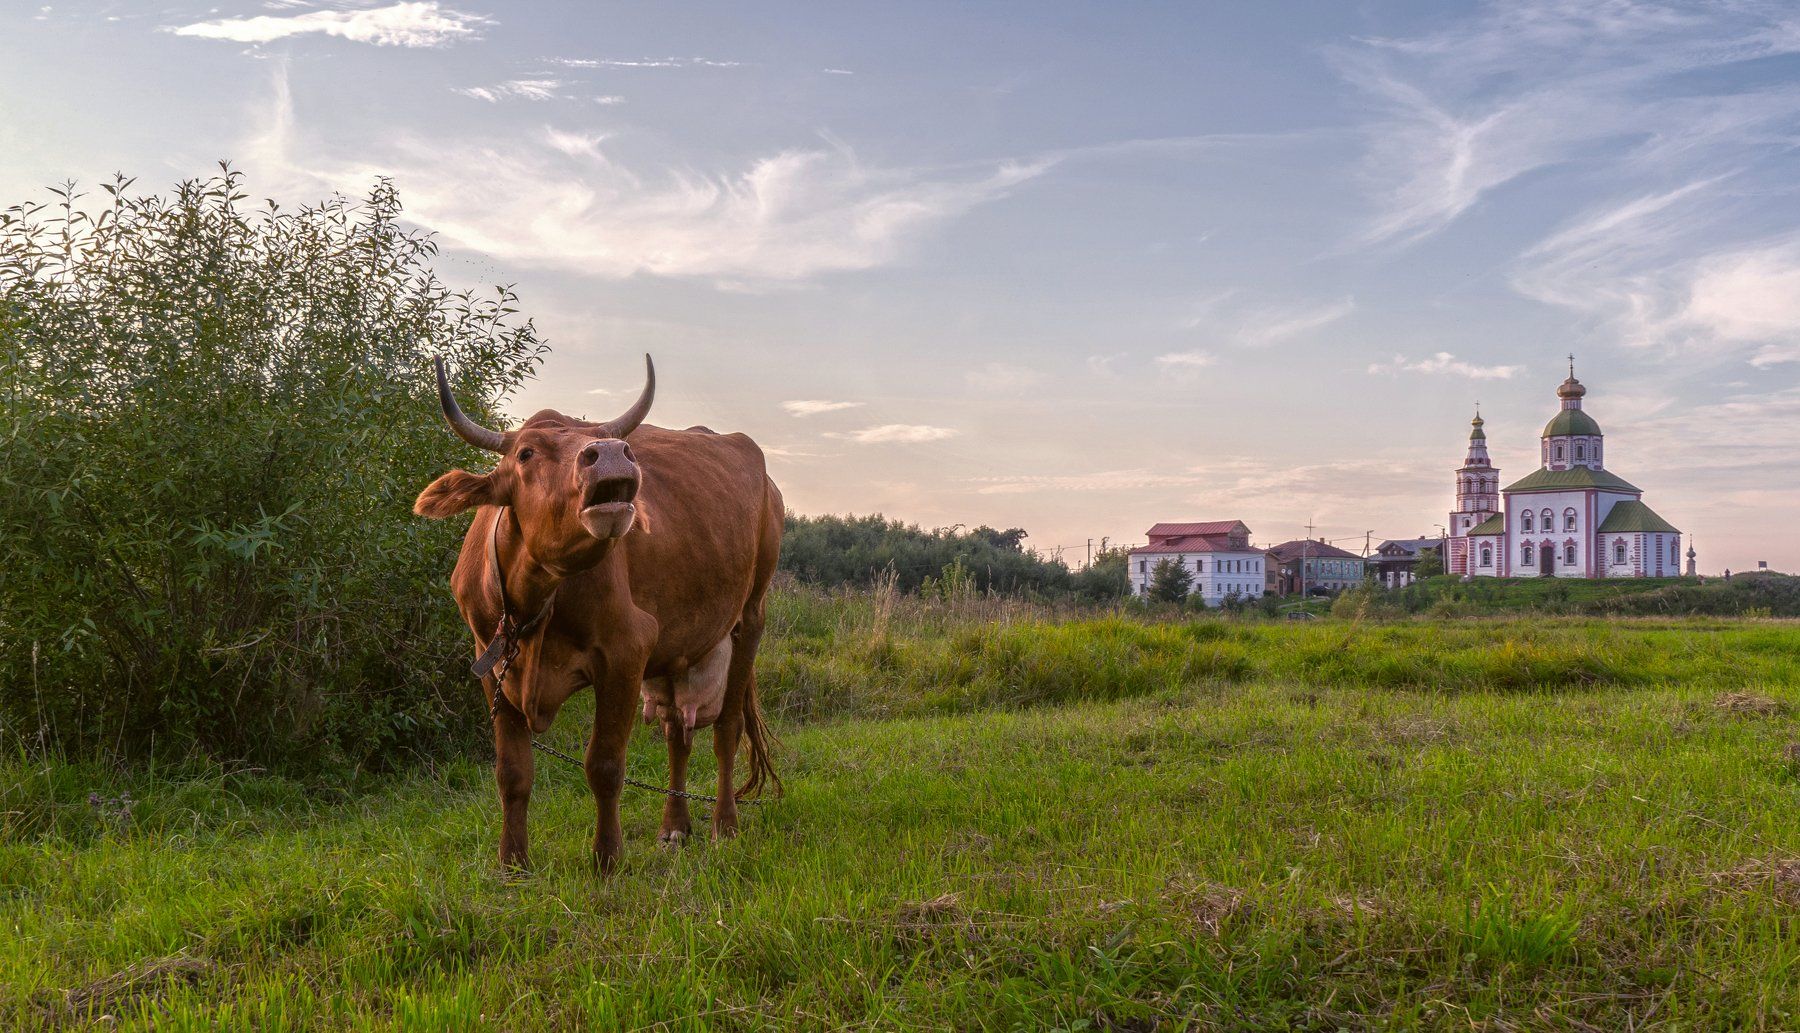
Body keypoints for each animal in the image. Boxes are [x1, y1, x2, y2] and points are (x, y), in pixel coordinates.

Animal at [414, 356, 781, 874]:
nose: (610, 452)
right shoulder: (490, 664)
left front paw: (607, 858)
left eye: (594, 436)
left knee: (725, 729)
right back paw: (674, 826)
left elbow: (604, 765)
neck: (532, 602)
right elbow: (512, 773)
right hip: (678, 649)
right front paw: (513, 862)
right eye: (525, 453)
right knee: (678, 732)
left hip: (750, 617)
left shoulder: (626, 652)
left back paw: (723, 826)